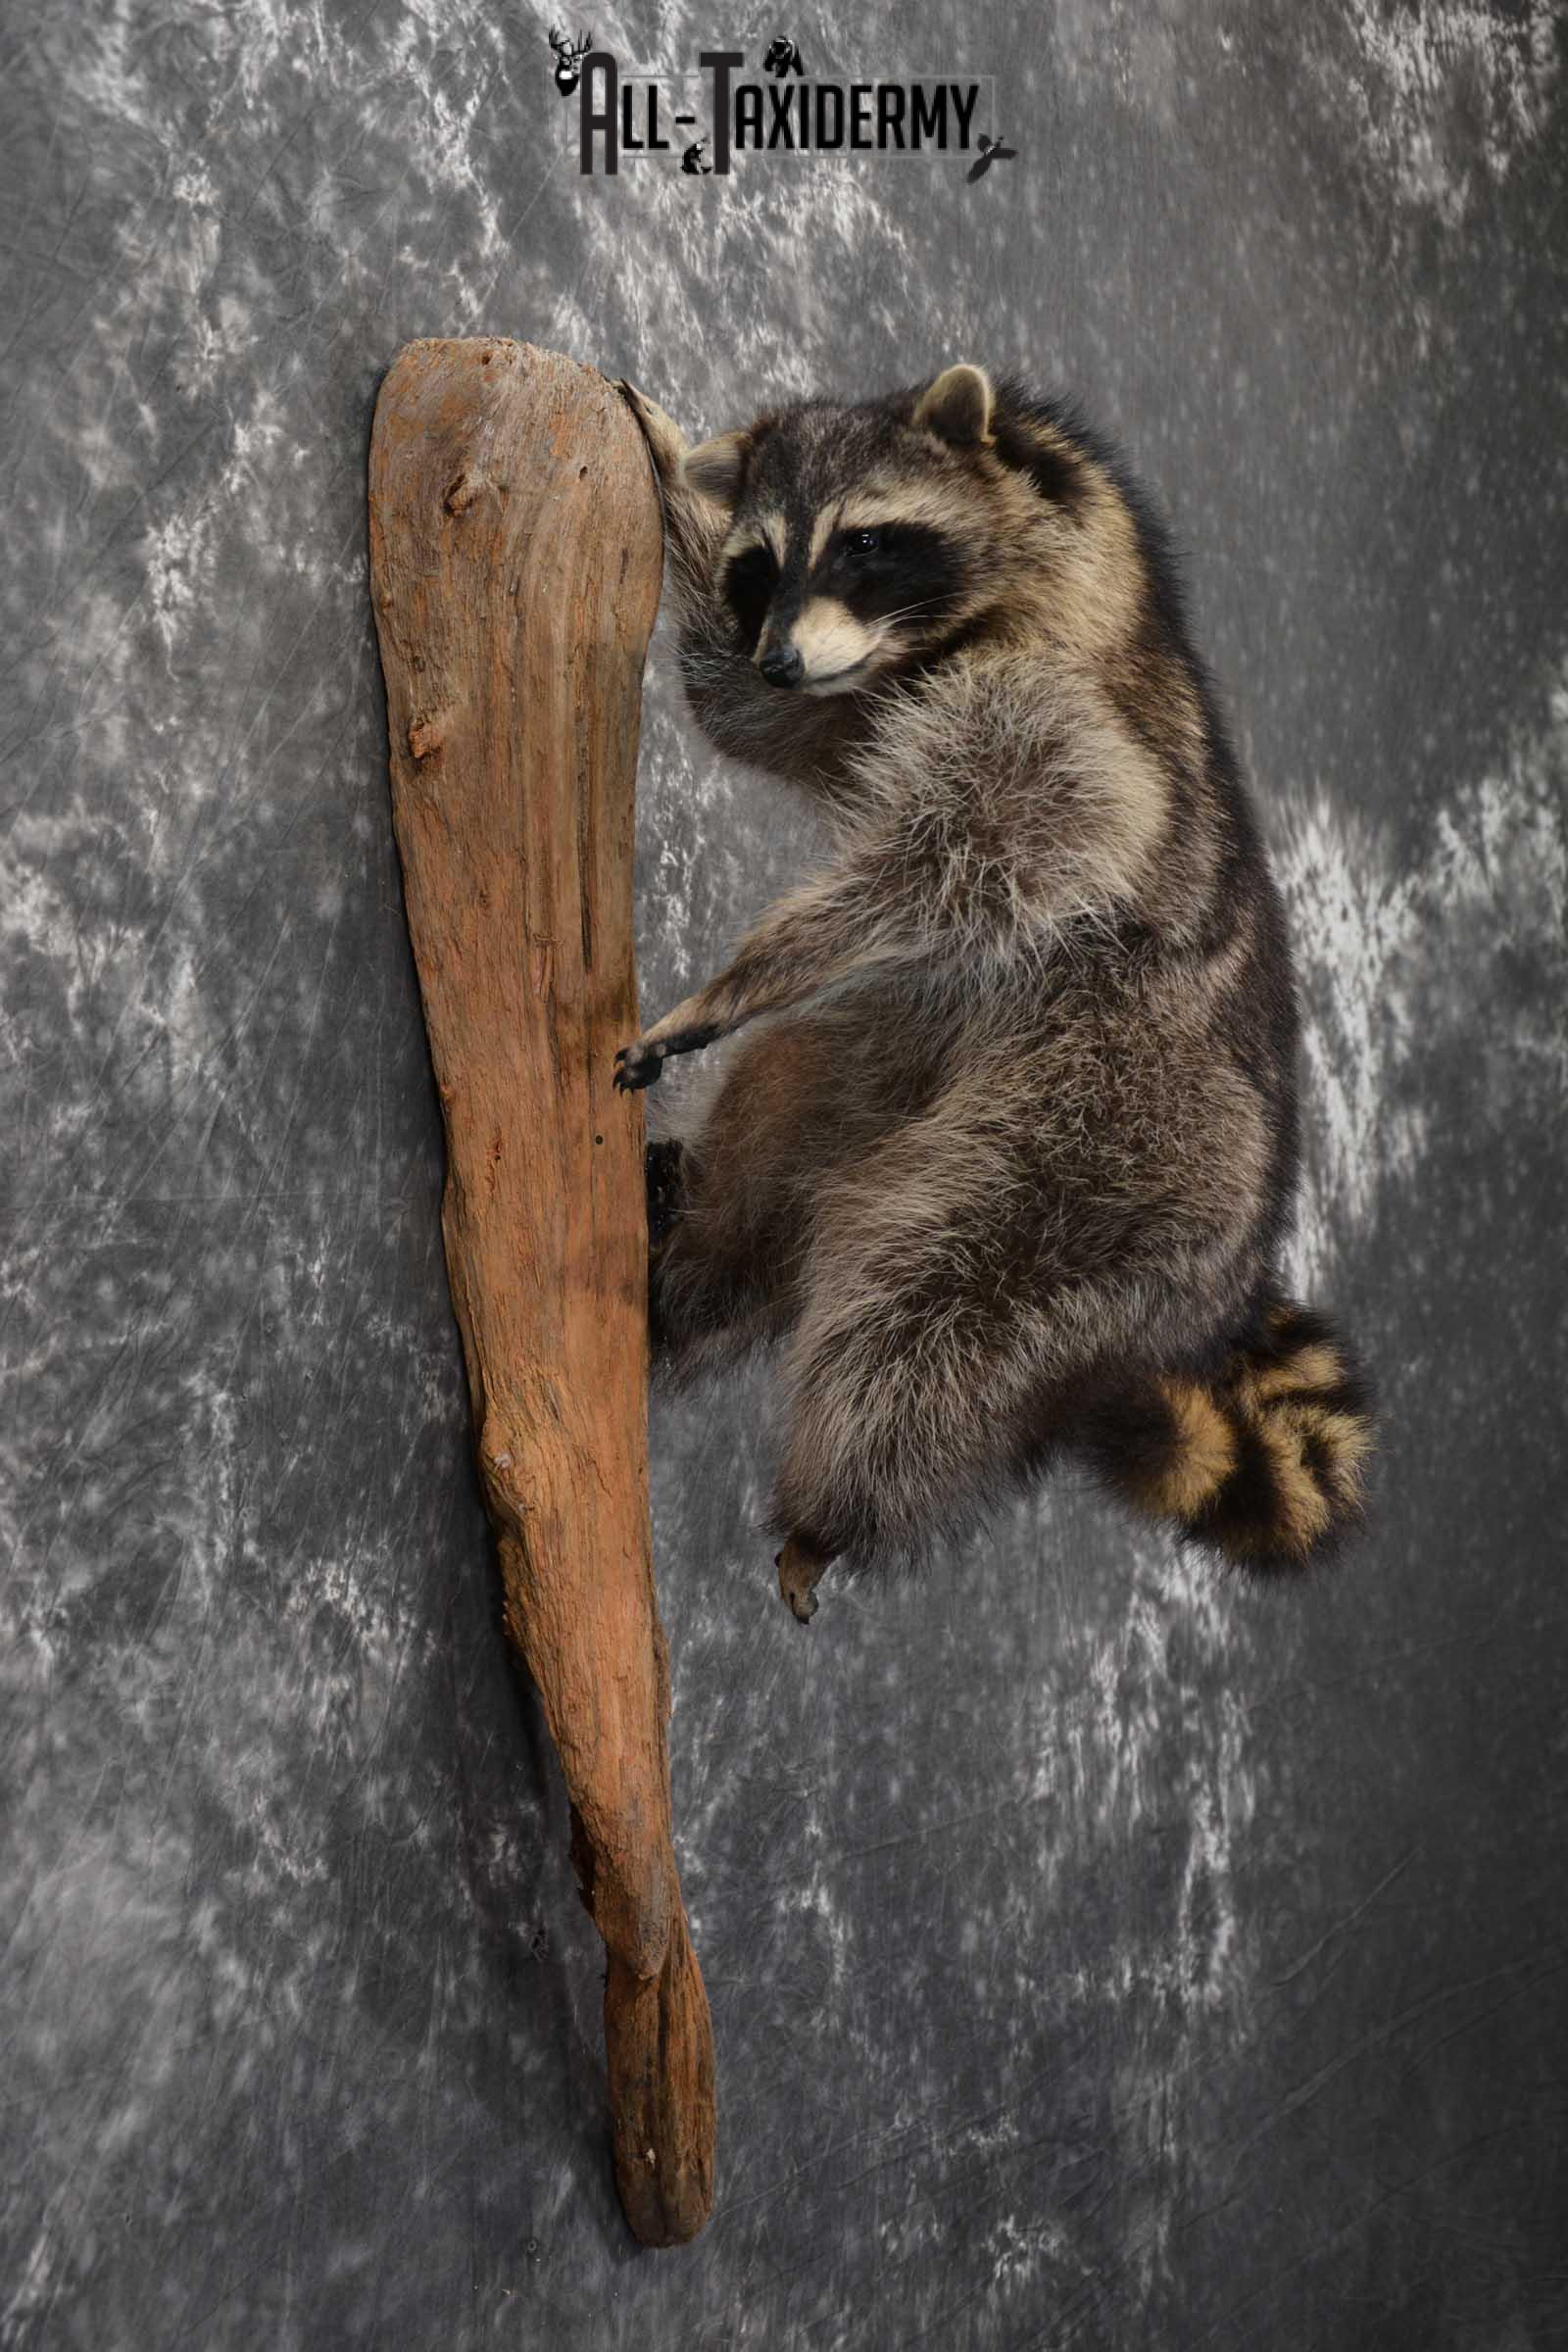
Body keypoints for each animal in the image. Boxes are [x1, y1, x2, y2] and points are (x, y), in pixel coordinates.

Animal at [616, 365, 1374, 1622]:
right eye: (761, 562)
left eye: (867, 541)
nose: (782, 653)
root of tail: (1225, 1285)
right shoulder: (859, 699)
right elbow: (748, 714)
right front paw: (676, 480)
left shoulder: (1077, 737)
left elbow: (944, 873)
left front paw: (743, 975)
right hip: (890, 1072)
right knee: (778, 1140)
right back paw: (682, 1274)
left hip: (1107, 1158)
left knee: (930, 1312)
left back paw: (832, 1508)